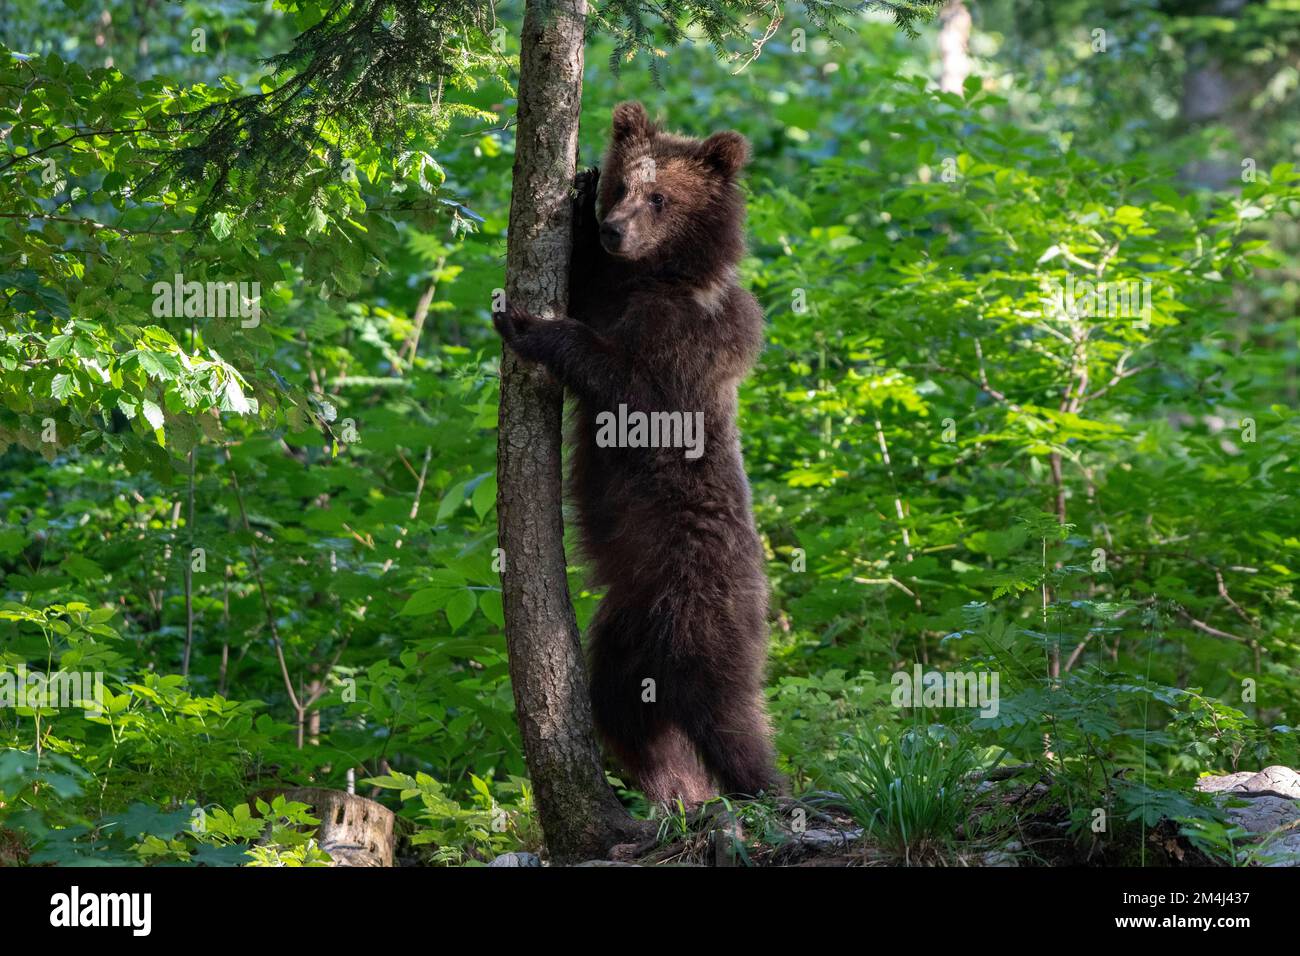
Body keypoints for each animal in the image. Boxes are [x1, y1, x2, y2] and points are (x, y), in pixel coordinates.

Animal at [493, 101, 778, 805]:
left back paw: (765, 788)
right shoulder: (615, 293)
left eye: (660, 197)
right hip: (627, 634)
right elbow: (587, 289)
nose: (615, 229)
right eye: (625, 185)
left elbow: (628, 385)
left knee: (725, 713)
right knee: (624, 711)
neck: (659, 276)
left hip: (702, 607)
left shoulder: (688, 350)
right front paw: (579, 193)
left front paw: (528, 324)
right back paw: (675, 790)